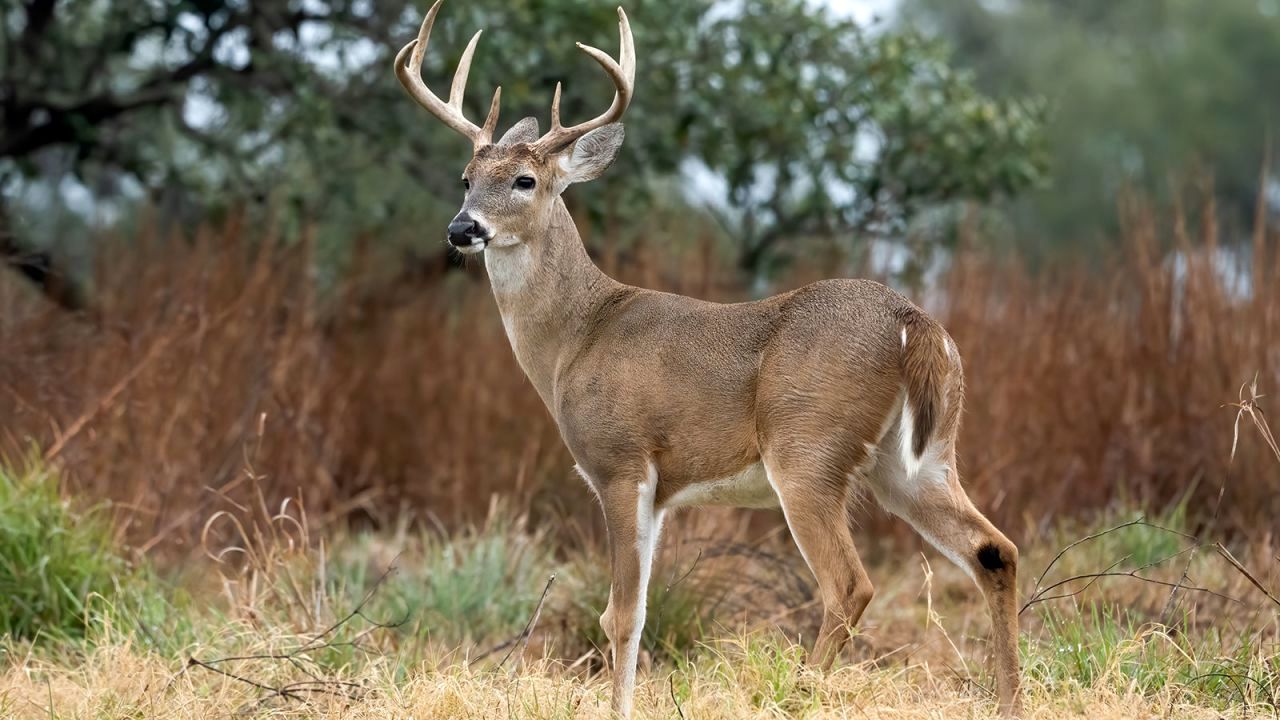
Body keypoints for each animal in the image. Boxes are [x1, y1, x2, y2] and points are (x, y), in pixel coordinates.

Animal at [389, 2, 1018, 712]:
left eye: (524, 180)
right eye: (467, 179)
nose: (461, 228)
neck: (576, 339)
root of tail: (915, 322)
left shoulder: (619, 462)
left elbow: (621, 613)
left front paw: (618, 709)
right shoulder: (663, 492)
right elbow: (636, 611)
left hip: (808, 447)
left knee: (851, 584)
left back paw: (798, 695)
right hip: (918, 459)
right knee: (993, 550)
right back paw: (1010, 700)